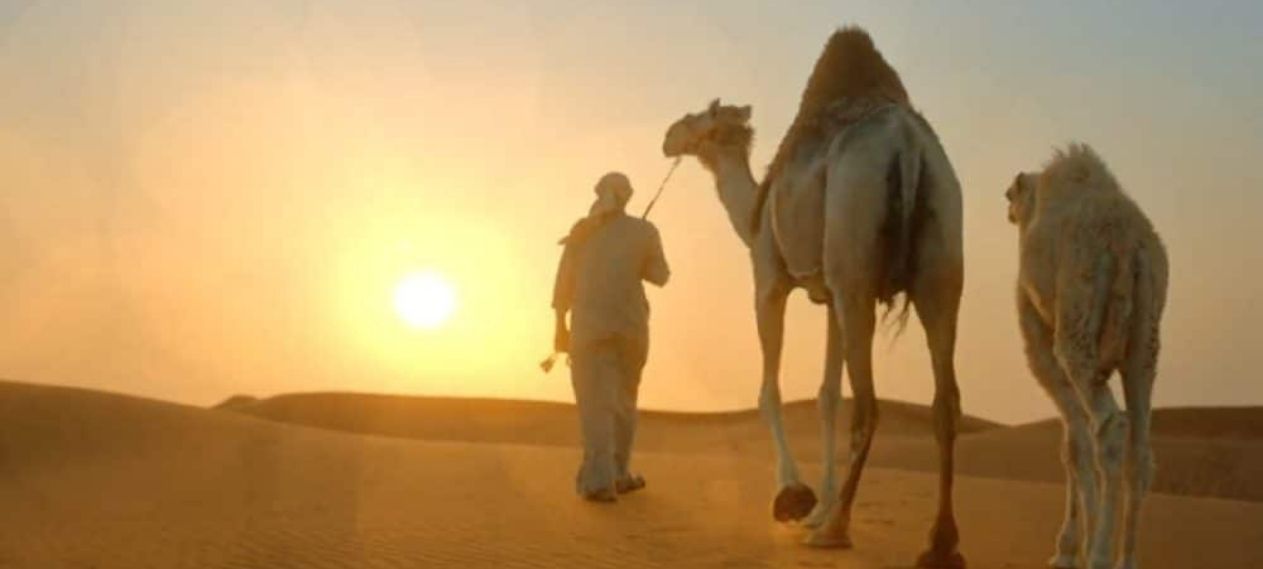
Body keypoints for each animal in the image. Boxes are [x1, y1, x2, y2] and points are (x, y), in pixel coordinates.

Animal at [662, 28, 966, 567]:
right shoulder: (830, 302)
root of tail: (907, 144)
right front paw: (818, 503)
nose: (668, 134)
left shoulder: (768, 279)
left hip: (855, 253)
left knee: (868, 403)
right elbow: (826, 395)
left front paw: (794, 498)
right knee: (944, 401)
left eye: (699, 116)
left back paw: (836, 529)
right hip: (939, 255)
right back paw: (939, 543)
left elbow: (770, 390)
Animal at [1006, 144, 1168, 569]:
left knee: (1110, 428)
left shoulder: (1040, 343)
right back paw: (1126, 560)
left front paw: (1066, 551)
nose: (1008, 206)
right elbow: (1078, 443)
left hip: (1076, 327)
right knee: (1140, 448)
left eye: (1011, 195)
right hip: (1146, 338)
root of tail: (1131, 245)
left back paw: (1098, 555)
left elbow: (1073, 445)